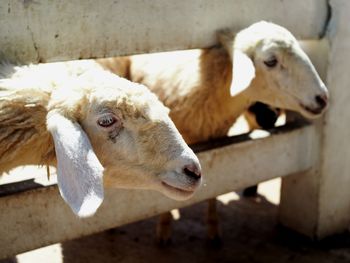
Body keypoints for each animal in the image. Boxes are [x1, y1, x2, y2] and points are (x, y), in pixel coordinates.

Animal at [97, 20, 330, 245]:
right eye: (271, 61)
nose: (322, 98)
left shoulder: (218, 143)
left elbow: (214, 188)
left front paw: (213, 230)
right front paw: (164, 229)